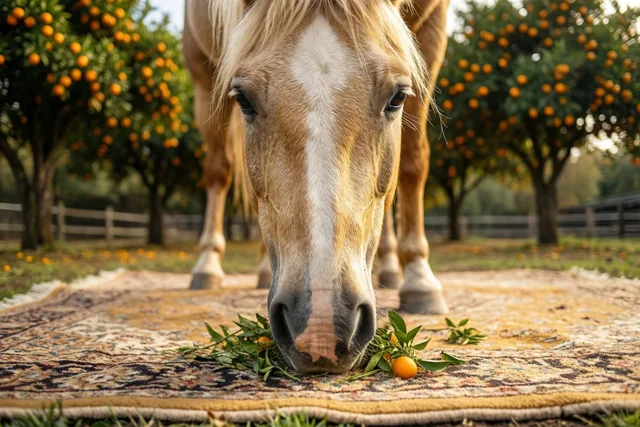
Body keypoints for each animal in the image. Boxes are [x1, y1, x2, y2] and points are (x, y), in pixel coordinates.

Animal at [183, 0, 450, 374]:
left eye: (397, 97)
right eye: (244, 99)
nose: (321, 328)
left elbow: (412, 161)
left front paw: (420, 279)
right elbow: (220, 171)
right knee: (219, 170)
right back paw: (209, 266)